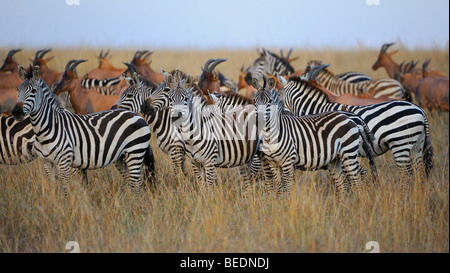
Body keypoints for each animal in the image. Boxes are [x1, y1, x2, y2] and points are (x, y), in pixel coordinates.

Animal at [11, 65, 155, 197]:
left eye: (33, 91)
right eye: (18, 90)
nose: (16, 112)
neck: (46, 129)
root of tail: (135, 114)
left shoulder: (64, 161)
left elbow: (65, 188)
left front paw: (66, 206)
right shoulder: (46, 163)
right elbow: (53, 188)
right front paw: (55, 204)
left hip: (135, 152)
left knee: (136, 183)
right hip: (121, 157)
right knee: (131, 181)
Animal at [278, 70, 432, 189]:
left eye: (278, 96)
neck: (318, 110)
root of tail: (419, 110)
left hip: (400, 143)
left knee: (407, 174)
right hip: (417, 144)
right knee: (419, 172)